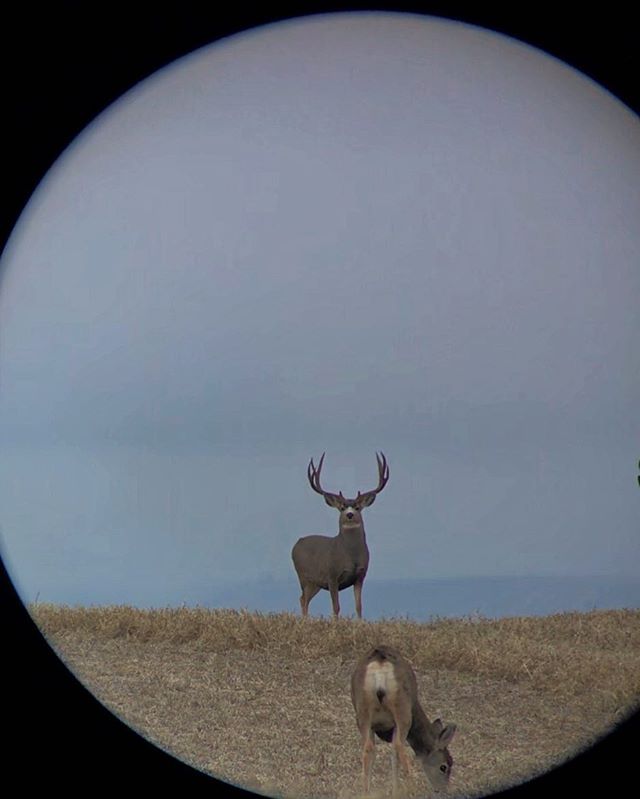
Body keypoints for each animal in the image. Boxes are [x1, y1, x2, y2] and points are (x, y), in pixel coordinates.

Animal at [291, 452, 389, 619]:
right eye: (342, 507)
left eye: (357, 507)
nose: (349, 514)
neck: (350, 555)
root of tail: (297, 543)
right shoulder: (332, 575)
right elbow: (336, 607)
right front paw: (335, 622)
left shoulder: (360, 576)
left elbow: (359, 606)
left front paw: (360, 622)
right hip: (304, 576)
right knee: (303, 599)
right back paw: (305, 620)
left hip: (315, 583)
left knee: (304, 598)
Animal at [351, 645, 456, 796]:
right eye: (444, 766)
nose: (442, 790)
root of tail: (380, 664)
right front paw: (396, 791)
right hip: (402, 710)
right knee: (399, 746)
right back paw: (411, 787)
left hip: (362, 712)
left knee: (368, 748)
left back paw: (366, 793)